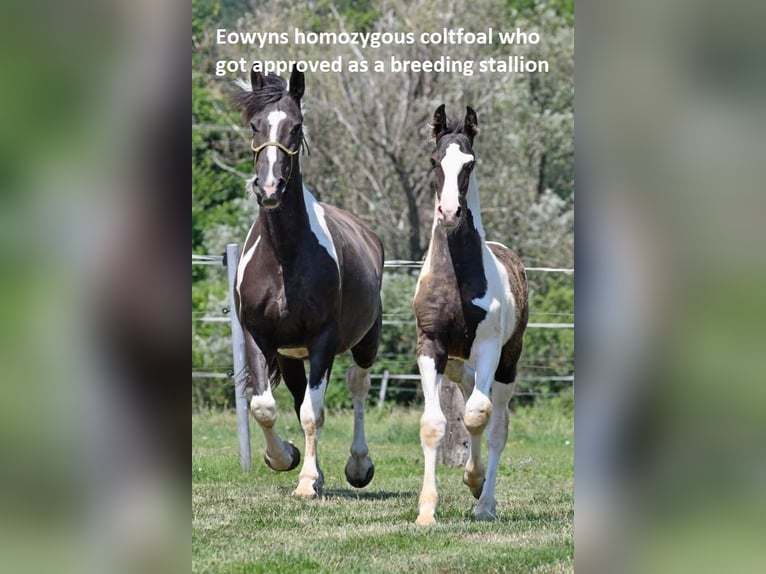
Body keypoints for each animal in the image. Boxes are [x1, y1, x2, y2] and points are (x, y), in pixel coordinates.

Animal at [232, 67, 384, 500]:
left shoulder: (323, 339)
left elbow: (313, 413)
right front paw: (285, 458)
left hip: (365, 341)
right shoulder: (257, 336)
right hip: (289, 354)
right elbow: (265, 407)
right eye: (255, 125)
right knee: (300, 395)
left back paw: (358, 466)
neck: (284, 257)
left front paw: (304, 483)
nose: (268, 189)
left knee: (358, 387)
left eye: (296, 128)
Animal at [414, 104, 528, 528]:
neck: (457, 278)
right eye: (434, 161)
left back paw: (484, 501)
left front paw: (476, 484)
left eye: (470, 163)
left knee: (495, 425)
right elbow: (435, 423)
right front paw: (426, 510)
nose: (450, 212)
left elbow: (480, 416)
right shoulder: (430, 346)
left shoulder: (490, 347)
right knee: (465, 395)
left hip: (507, 361)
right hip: (456, 361)